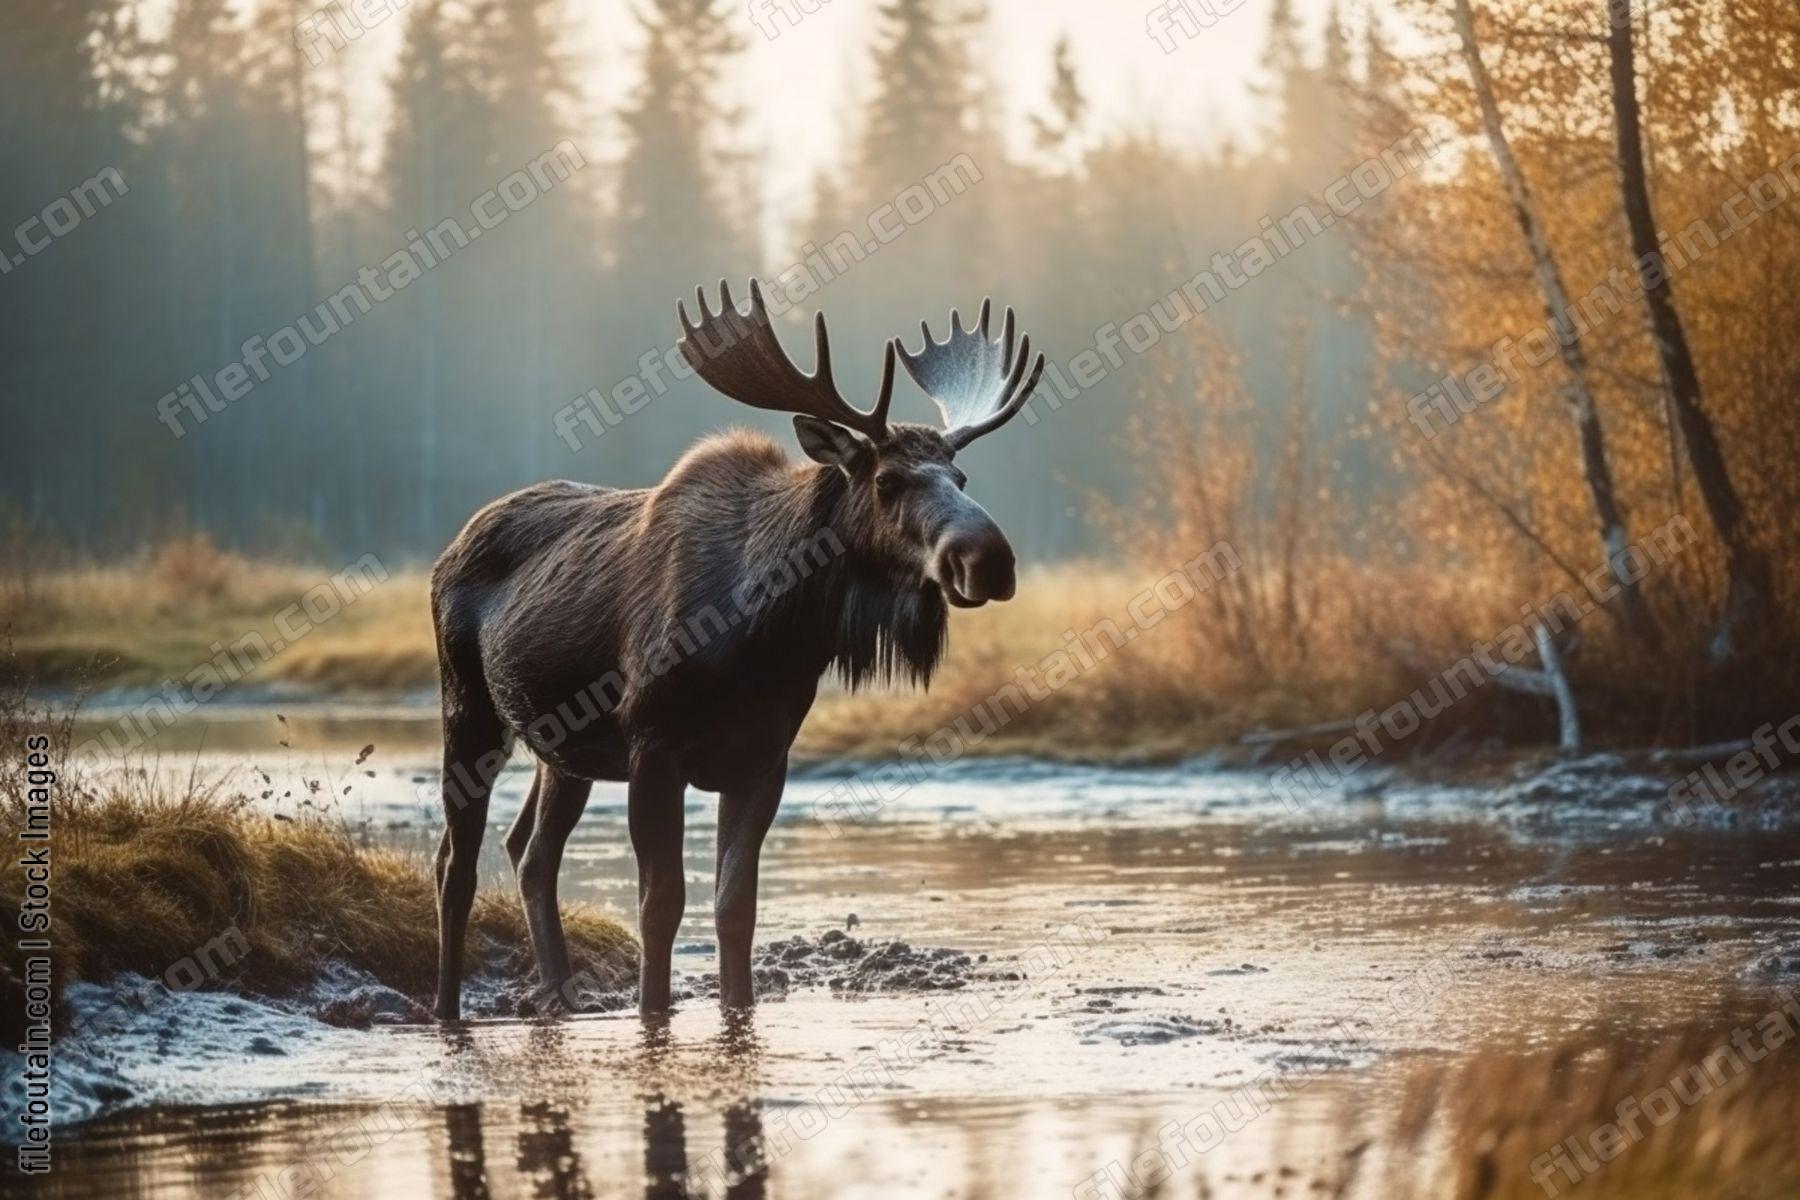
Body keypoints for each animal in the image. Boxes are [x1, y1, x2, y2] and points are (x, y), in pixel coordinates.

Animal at [429, 278, 1046, 1020]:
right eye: (887, 481)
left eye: (961, 479)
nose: (989, 560)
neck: (764, 641)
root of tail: (449, 551)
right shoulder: (653, 745)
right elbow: (661, 905)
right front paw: (654, 1014)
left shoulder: (763, 758)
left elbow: (736, 907)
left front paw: (736, 1011)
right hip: (467, 709)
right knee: (455, 864)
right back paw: (446, 1010)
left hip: (561, 751)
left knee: (530, 853)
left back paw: (558, 999)